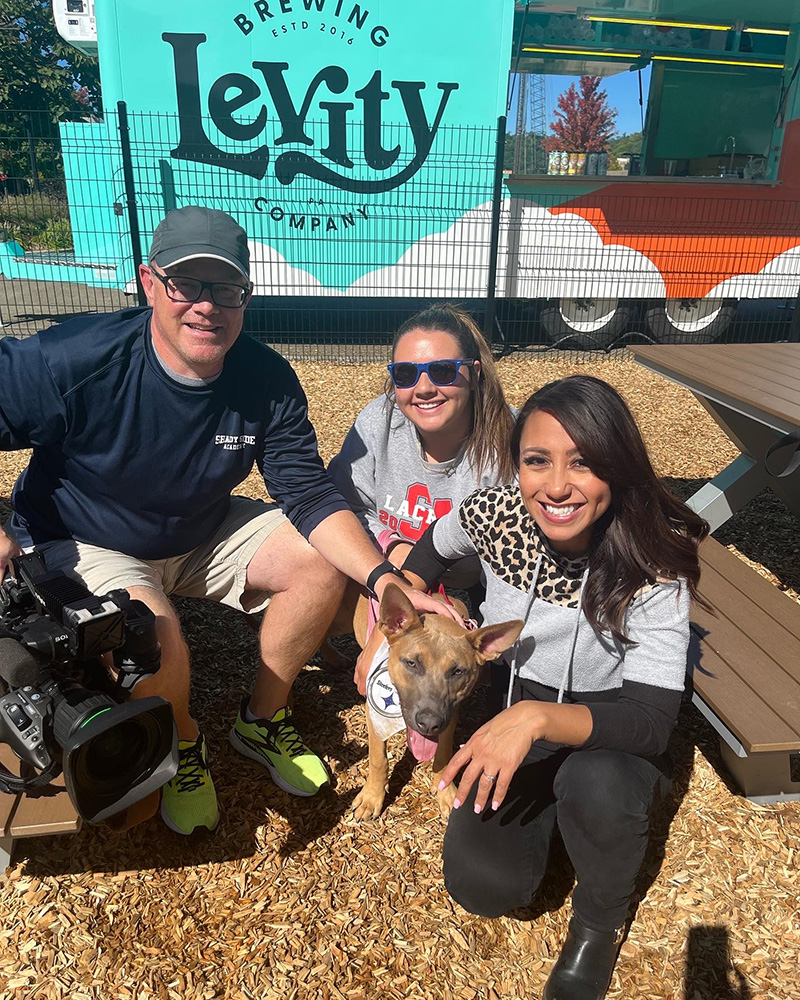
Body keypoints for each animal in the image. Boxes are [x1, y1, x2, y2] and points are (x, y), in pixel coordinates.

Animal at [354, 584, 520, 820]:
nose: (429, 723)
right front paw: (371, 797)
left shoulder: (450, 714)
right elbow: (378, 758)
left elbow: (443, 753)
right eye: (412, 663)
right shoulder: (374, 711)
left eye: (458, 671)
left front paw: (446, 792)